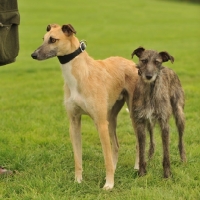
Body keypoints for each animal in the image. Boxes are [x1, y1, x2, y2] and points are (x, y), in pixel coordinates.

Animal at [31, 23, 139, 189]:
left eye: (53, 39)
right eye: (43, 38)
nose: (33, 55)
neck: (80, 73)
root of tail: (131, 63)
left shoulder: (100, 123)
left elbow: (106, 158)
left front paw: (109, 184)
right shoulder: (74, 122)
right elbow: (78, 158)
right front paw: (78, 181)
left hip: (132, 114)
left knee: (139, 142)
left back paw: (138, 168)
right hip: (111, 117)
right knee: (116, 145)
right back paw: (116, 168)